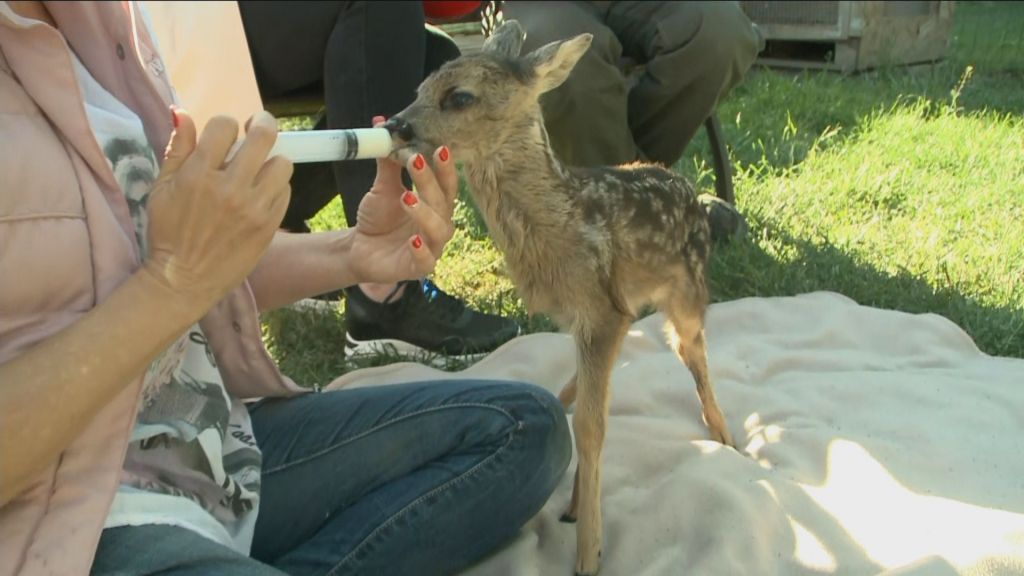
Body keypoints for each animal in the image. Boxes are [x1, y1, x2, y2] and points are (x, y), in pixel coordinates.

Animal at [384, 20, 736, 576]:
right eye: (419, 89)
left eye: (459, 96)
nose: (396, 125)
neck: (564, 222)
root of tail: (693, 194)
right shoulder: (590, 316)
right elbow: (584, 410)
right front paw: (579, 517)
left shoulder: (601, 314)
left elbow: (593, 428)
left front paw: (590, 553)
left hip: (687, 290)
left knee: (692, 352)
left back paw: (724, 436)